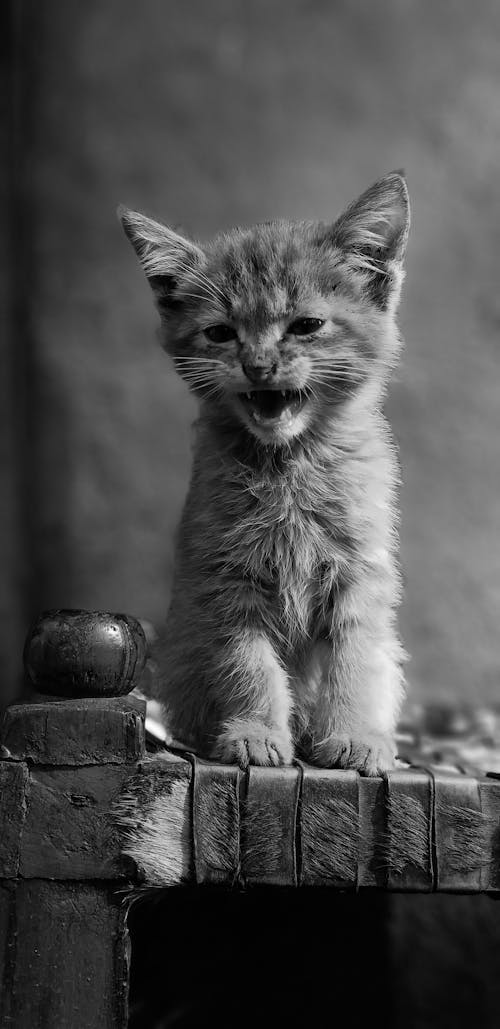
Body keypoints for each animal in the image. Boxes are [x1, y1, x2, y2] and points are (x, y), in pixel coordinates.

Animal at [120, 174, 409, 773]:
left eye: (307, 326)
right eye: (220, 334)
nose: (258, 366)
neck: (289, 465)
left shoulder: (360, 575)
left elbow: (354, 657)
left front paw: (354, 735)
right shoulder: (225, 581)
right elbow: (248, 663)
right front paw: (255, 732)